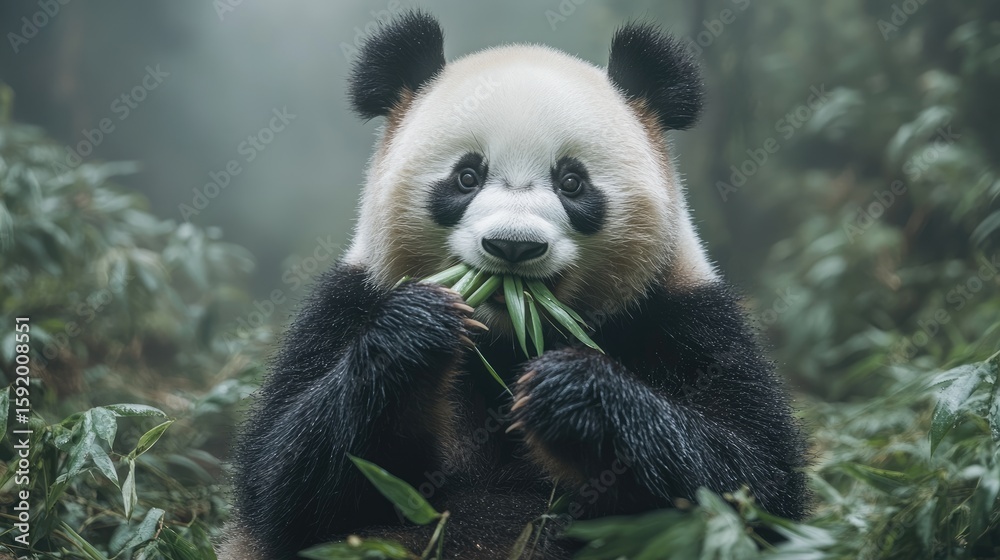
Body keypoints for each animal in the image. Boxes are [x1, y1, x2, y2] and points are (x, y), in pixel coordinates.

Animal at [220, 11, 808, 560]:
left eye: (571, 181)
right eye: (466, 176)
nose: (513, 246)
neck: (509, 339)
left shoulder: (684, 317)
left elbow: (751, 479)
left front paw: (572, 394)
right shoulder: (348, 304)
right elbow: (286, 479)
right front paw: (421, 330)